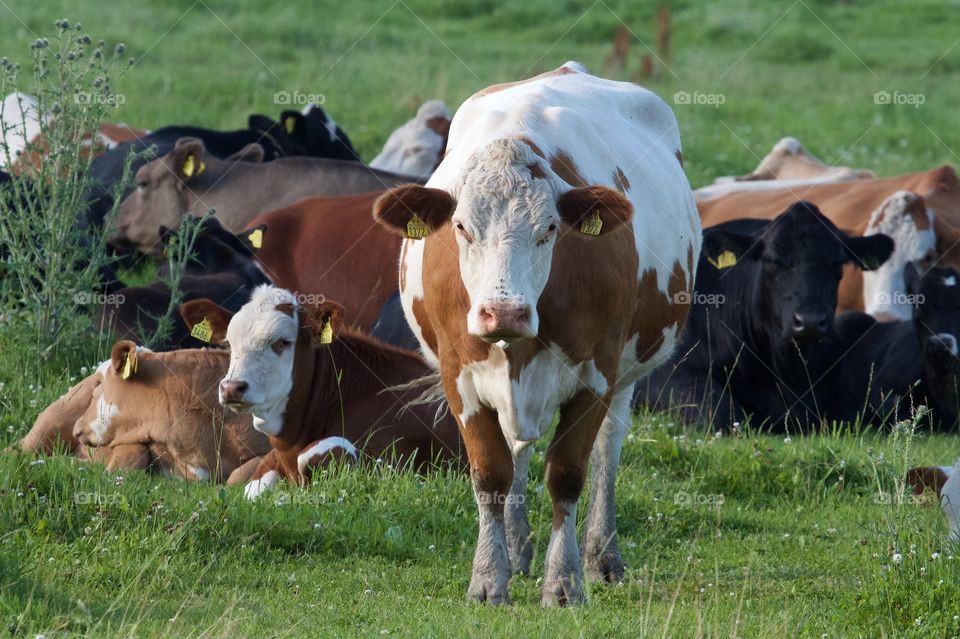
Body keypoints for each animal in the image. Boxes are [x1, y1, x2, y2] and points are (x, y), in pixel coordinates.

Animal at [181, 288, 468, 502]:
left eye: (282, 342)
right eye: (229, 344)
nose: (232, 387)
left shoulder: (391, 462)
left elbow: (314, 454)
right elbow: (253, 487)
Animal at [372, 62, 700, 608]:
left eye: (549, 229)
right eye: (461, 227)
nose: (503, 311)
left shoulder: (597, 375)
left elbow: (567, 474)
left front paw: (564, 581)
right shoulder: (459, 378)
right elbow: (491, 474)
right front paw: (489, 577)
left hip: (628, 372)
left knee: (608, 451)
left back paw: (602, 555)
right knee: (517, 449)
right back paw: (517, 546)